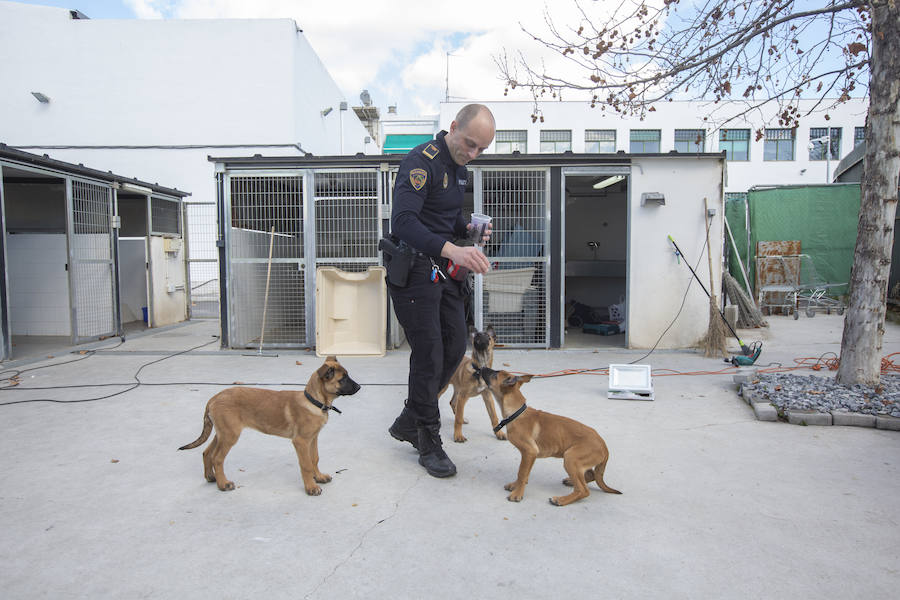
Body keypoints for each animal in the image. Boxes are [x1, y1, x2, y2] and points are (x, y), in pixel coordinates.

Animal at [178, 354, 360, 494]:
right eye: (343, 379)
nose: (359, 387)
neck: (314, 401)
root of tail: (214, 398)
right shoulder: (300, 441)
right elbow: (306, 464)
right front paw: (311, 487)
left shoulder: (313, 438)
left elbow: (314, 458)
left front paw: (319, 477)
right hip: (230, 435)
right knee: (217, 458)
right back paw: (223, 484)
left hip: (223, 432)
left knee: (207, 452)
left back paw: (211, 477)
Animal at [482, 366, 624, 506]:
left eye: (495, 374)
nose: (481, 367)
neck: (516, 413)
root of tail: (604, 446)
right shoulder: (529, 455)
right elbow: (524, 474)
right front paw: (515, 486)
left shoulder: (529, 451)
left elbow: (521, 473)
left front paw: (517, 494)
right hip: (577, 461)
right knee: (591, 475)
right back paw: (570, 482)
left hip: (570, 458)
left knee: (583, 490)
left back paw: (560, 500)